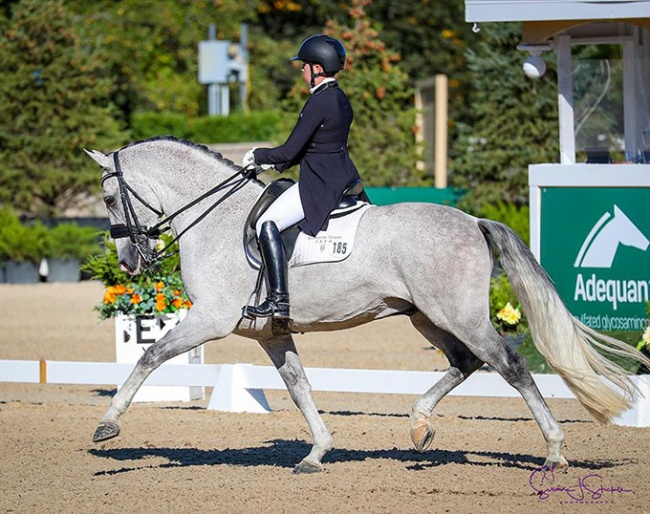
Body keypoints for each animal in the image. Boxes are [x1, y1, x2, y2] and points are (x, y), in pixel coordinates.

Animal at [87, 136, 648, 472]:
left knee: (508, 364)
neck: (216, 219)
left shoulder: (210, 319)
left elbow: (151, 355)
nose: (130, 263)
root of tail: (472, 220)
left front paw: (108, 424)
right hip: (427, 316)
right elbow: (298, 387)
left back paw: (554, 453)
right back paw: (419, 425)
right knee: (465, 362)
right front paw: (316, 453)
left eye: (111, 199)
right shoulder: (272, 333)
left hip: (458, 314)